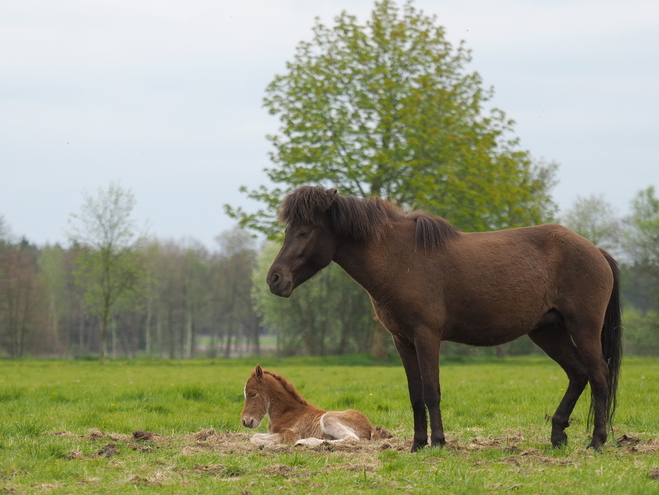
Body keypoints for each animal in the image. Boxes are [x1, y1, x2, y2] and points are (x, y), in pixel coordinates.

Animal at [241, 366, 386, 448]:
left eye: (253, 394)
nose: (245, 421)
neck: (287, 412)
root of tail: (370, 427)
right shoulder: (273, 432)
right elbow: (256, 436)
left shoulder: (290, 433)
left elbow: (256, 439)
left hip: (328, 418)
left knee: (351, 438)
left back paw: (306, 442)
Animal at [266, 186, 620, 454]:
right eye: (287, 230)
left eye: (304, 231)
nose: (274, 279)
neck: (399, 258)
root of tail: (596, 251)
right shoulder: (402, 340)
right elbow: (415, 394)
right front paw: (417, 444)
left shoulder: (427, 336)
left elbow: (431, 390)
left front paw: (437, 442)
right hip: (548, 331)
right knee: (578, 374)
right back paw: (558, 435)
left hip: (583, 328)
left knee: (598, 377)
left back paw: (596, 442)